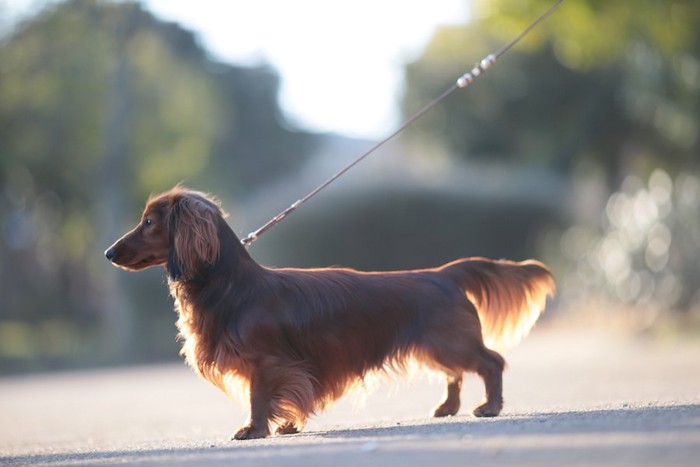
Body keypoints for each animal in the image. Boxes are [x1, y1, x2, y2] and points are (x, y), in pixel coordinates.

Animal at [104, 186, 556, 438]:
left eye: (149, 221)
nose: (108, 252)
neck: (232, 286)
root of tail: (443, 273)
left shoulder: (267, 363)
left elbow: (259, 398)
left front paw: (254, 430)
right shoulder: (288, 365)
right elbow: (286, 399)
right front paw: (286, 426)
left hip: (450, 343)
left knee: (490, 361)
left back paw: (491, 406)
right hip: (436, 347)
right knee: (455, 374)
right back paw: (447, 408)